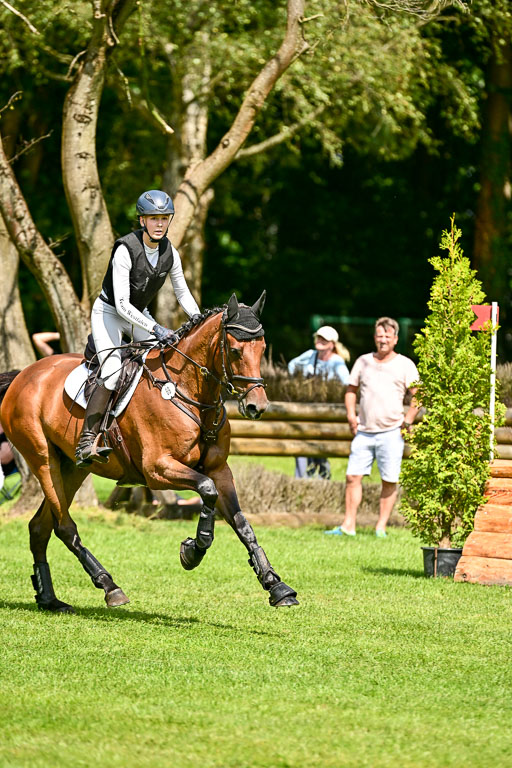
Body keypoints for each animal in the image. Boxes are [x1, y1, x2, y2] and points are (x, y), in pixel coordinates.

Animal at [0, 293, 298, 613]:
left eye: (262, 349)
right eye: (233, 350)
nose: (257, 406)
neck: (189, 391)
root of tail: (24, 374)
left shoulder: (220, 470)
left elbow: (241, 523)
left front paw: (277, 586)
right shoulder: (158, 469)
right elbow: (207, 491)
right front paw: (194, 549)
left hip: (72, 468)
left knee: (39, 527)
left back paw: (50, 599)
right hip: (43, 460)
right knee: (64, 526)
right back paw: (110, 587)